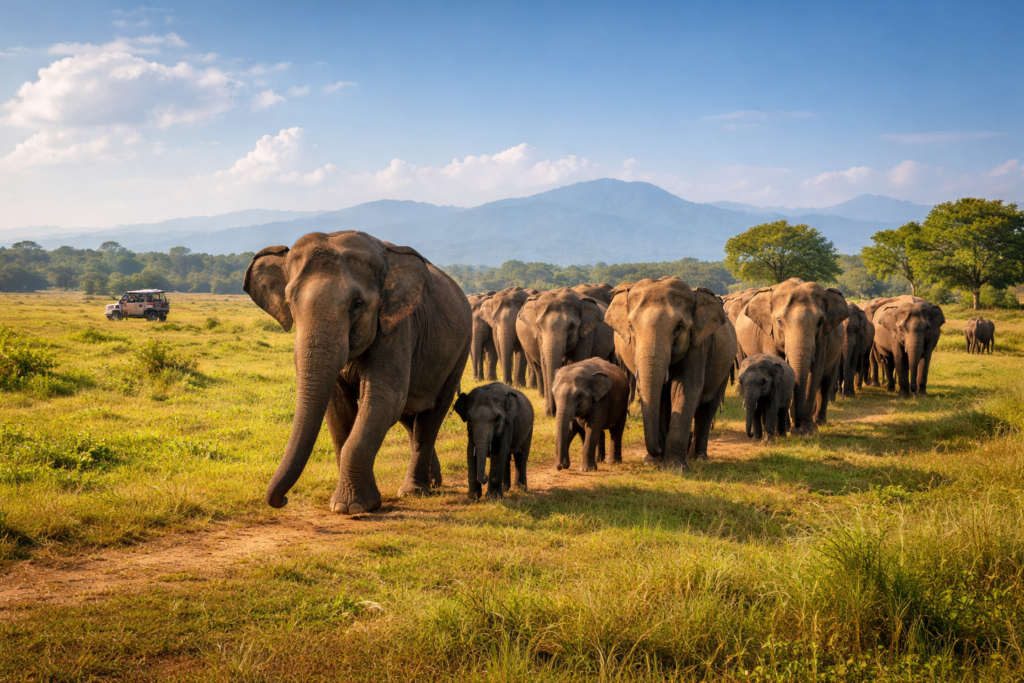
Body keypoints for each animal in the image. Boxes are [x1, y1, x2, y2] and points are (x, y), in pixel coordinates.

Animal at [243, 230, 471, 514]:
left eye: (357, 304)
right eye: (289, 302)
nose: (283, 500)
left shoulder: (398, 326)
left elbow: (385, 399)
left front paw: (353, 507)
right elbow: (339, 409)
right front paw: (345, 504)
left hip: (460, 349)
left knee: (432, 414)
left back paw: (414, 491)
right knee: (410, 415)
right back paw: (433, 482)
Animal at [516, 288, 616, 416]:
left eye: (571, 326)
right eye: (538, 326)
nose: (553, 412)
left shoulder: (585, 334)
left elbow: (578, 360)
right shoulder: (539, 339)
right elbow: (544, 364)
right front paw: (548, 413)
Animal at [605, 277, 737, 468]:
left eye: (679, 326)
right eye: (630, 326)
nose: (659, 450)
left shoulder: (698, 347)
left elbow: (685, 391)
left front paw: (674, 467)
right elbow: (657, 397)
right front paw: (653, 463)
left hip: (724, 367)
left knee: (707, 407)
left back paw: (698, 458)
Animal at [734, 279, 848, 433]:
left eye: (820, 321)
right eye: (779, 321)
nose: (797, 427)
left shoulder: (823, 338)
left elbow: (815, 373)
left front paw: (806, 432)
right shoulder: (768, 333)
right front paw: (785, 429)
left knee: (826, 383)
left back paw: (819, 423)